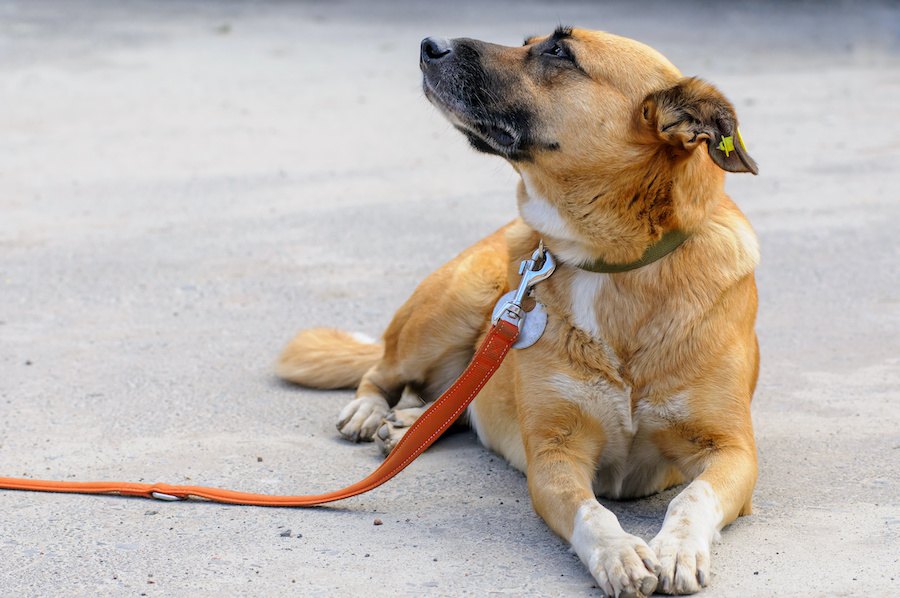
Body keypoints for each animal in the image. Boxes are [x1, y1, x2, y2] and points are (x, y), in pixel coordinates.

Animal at [274, 25, 760, 596]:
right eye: (533, 40)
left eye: (558, 51)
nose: (429, 44)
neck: (611, 267)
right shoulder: (553, 455)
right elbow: (591, 514)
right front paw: (619, 554)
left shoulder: (733, 450)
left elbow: (692, 496)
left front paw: (678, 547)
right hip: (449, 311)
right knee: (384, 371)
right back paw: (373, 412)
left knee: (450, 404)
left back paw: (408, 425)